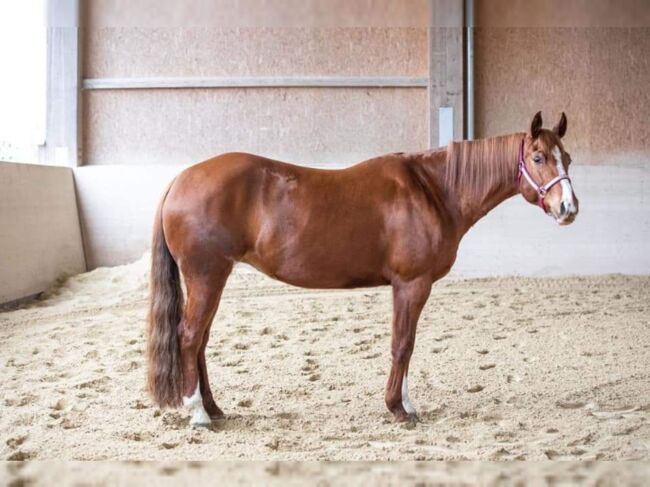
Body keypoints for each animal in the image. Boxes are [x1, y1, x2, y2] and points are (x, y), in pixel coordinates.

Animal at [147, 111, 576, 428]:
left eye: (567, 158)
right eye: (538, 157)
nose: (568, 208)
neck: (433, 190)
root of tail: (179, 180)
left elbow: (406, 344)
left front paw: (406, 404)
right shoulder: (412, 284)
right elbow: (402, 344)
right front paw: (398, 409)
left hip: (211, 279)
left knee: (201, 341)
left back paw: (214, 409)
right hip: (207, 276)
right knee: (189, 337)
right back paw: (198, 414)